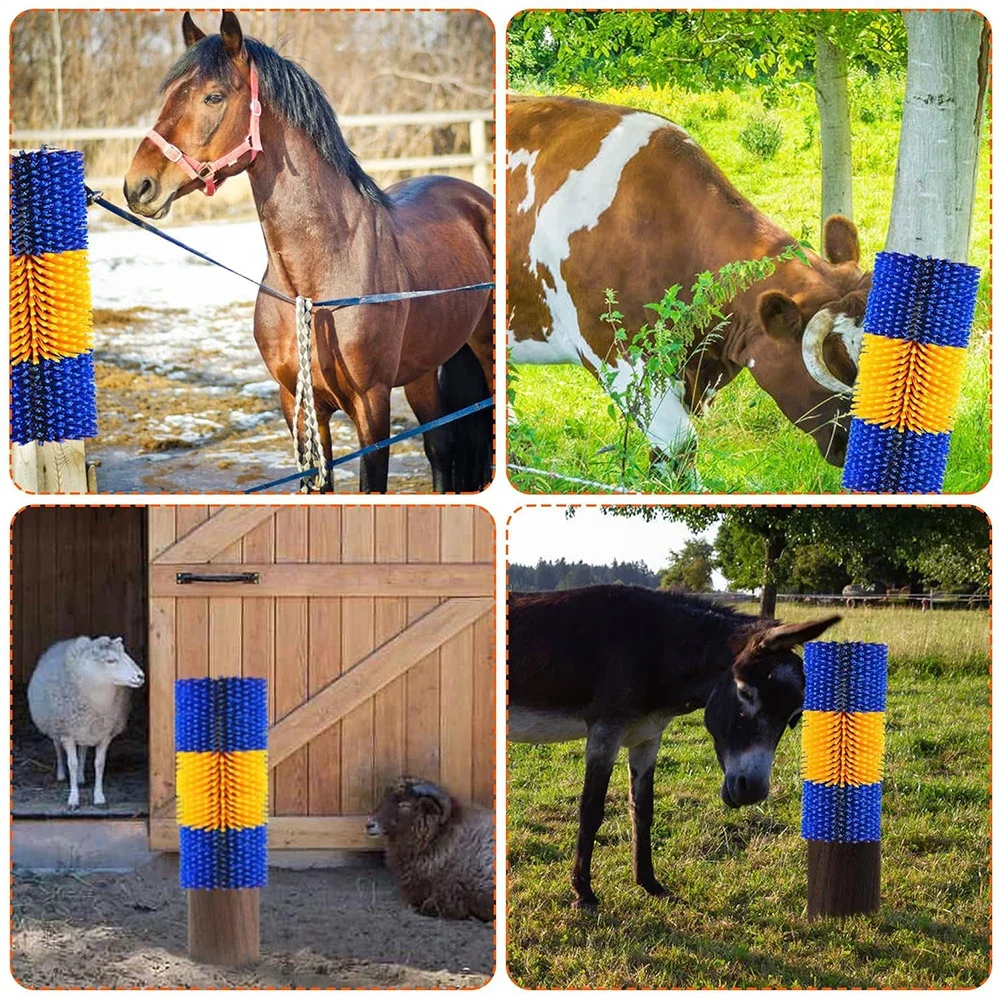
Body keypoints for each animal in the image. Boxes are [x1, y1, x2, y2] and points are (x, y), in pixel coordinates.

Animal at [27, 636, 145, 809]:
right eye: (110, 661)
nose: (141, 676)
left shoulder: (104, 734)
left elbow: (99, 764)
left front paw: (99, 797)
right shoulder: (67, 733)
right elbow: (72, 763)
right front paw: (73, 799)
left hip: (86, 730)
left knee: (83, 749)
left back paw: (81, 777)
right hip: (56, 726)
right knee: (57, 747)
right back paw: (61, 774)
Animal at [123, 11, 494, 492]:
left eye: (213, 96)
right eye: (168, 94)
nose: (138, 186)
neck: (315, 282)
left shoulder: (371, 406)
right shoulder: (299, 407)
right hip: (425, 368)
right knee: (440, 448)